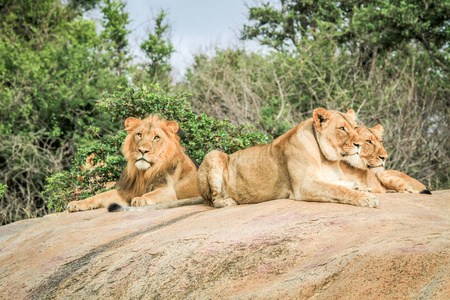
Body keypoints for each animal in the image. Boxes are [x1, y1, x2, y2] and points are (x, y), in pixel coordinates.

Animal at [66, 113, 199, 212]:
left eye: (156, 137)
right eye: (139, 134)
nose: (143, 150)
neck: (142, 173)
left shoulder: (168, 191)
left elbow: (150, 194)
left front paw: (140, 200)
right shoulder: (124, 193)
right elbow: (99, 196)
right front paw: (77, 203)